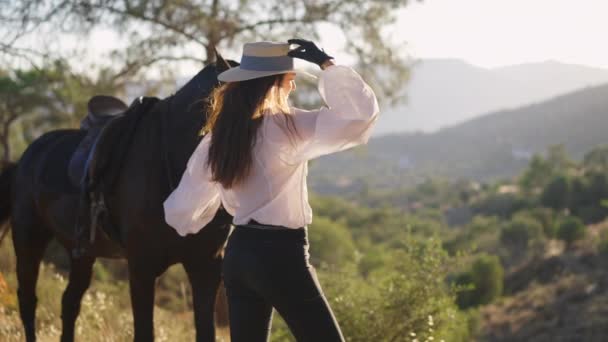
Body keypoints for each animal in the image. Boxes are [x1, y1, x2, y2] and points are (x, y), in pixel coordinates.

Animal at [0, 57, 239, 340]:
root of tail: (25, 159)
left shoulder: (205, 267)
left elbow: (206, 330)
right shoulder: (141, 266)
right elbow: (144, 331)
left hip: (81, 253)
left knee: (69, 303)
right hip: (29, 239)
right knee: (28, 299)